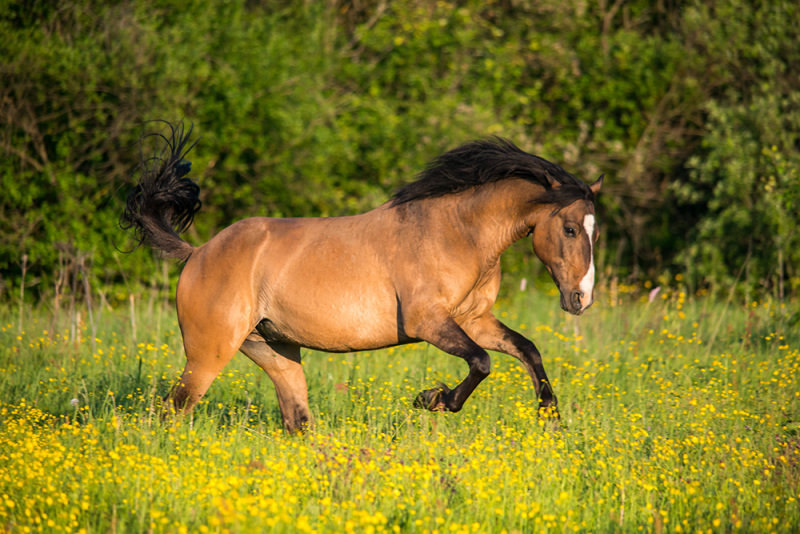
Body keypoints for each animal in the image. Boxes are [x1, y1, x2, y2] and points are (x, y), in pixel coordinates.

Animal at [123, 123, 600, 434]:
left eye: (595, 231)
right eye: (570, 229)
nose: (581, 299)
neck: (455, 232)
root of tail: (198, 252)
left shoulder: (474, 320)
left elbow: (526, 349)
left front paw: (550, 417)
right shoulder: (428, 322)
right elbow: (482, 362)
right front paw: (433, 399)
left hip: (275, 352)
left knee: (296, 422)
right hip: (207, 355)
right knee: (169, 412)